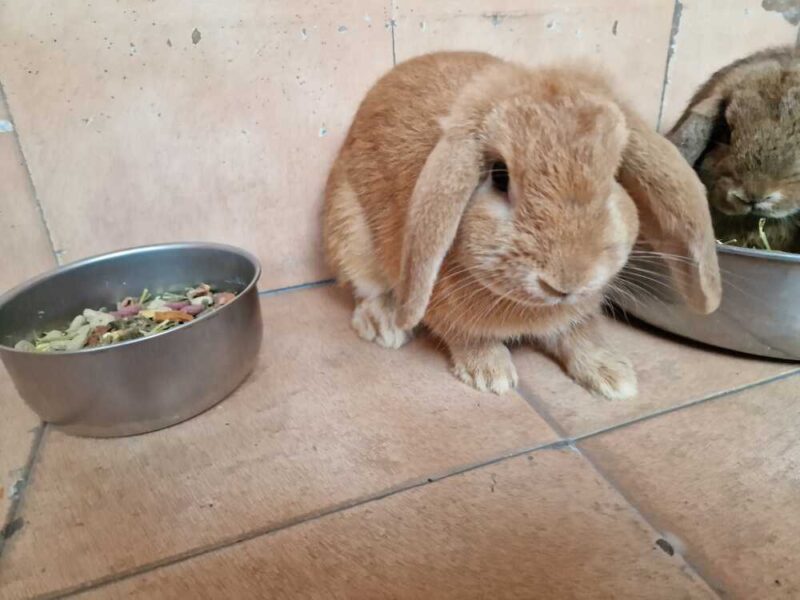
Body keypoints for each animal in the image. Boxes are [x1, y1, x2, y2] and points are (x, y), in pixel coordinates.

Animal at [323, 51, 720, 398]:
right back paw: (384, 325)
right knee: (364, 289)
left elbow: (581, 333)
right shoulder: (444, 310)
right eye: (500, 176)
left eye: (614, 176)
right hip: (350, 237)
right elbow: (467, 335)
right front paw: (491, 375)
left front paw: (613, 376)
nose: (567, 282)